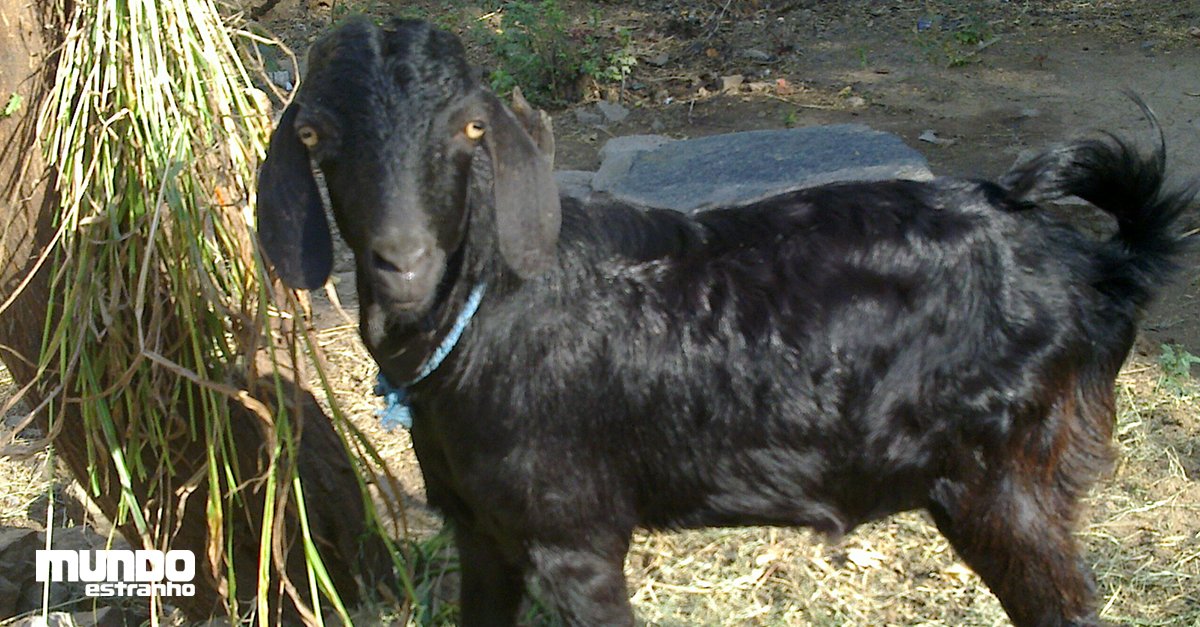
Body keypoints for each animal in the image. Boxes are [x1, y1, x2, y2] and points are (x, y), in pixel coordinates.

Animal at [256, 17, 1193, 627]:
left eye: (470, 126)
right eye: (314, 133)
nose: (402, 261)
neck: (486, 307)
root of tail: (1105, 264)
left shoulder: (573, 533)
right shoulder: (479, 528)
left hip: (1009, 475)